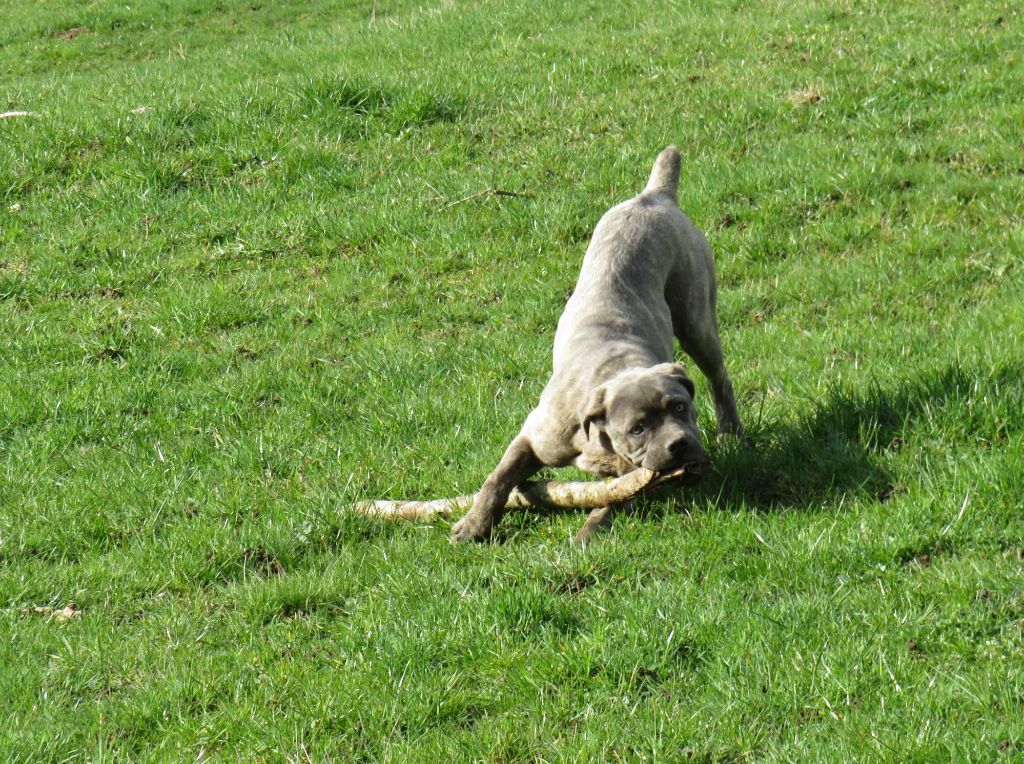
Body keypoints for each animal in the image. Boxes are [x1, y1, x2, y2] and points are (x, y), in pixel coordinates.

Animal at [452, 145, 741, 540]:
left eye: (680, 407)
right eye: (637, 428)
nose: (679, 444)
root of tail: (654, 196)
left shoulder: (628, 475)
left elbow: (611, 501)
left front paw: (587, 535)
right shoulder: (532, 438)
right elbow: (498, 477)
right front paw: (474, 524)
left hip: (696, 320)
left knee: (719, 378)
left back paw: (731, 433)